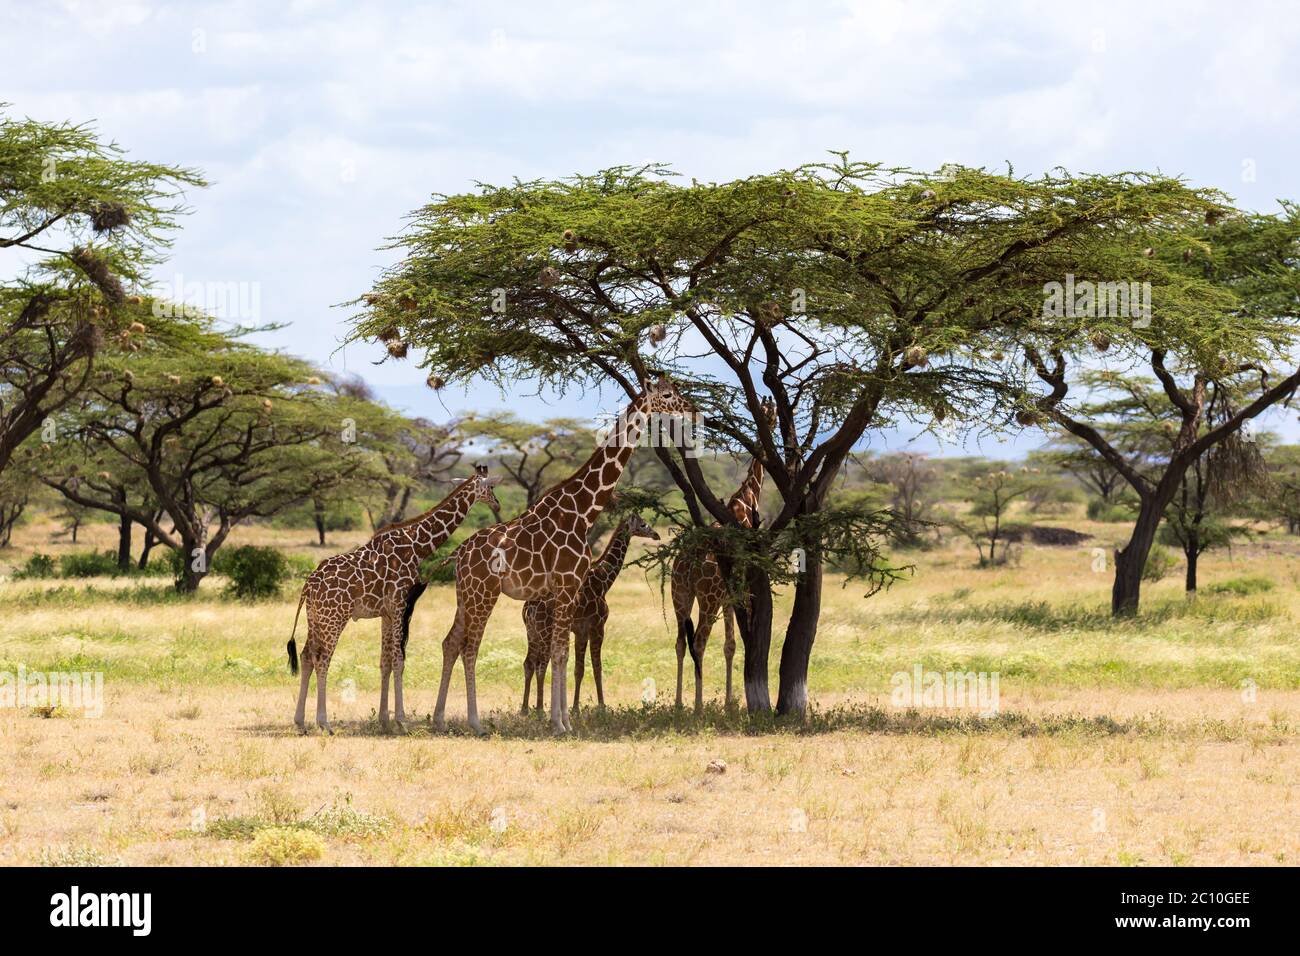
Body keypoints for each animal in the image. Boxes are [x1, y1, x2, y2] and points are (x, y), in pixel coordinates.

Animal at [287, 465, 501, 734]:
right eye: (490, 487)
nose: (497, 504)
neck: (418, 546)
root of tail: (308, 585)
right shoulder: (400, 605)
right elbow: (399, 660)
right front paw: (401, 720)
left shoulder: (387, 613)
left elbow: (385, 661)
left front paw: (384, 720)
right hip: (334, 617)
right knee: (322, 659)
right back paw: (324, 722)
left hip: (315, 618)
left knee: (306, 656)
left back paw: (300, 721)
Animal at [520, 512, 660, 714]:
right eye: (642, 524)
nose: (656, 535)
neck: (603, 582)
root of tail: (528, 608)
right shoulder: (597, 627)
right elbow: (597, 667)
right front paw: (602, 706)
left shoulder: (581, 631)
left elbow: (579, 669)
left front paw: (575, 708)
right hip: (545, 631)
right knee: (541, 665)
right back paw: (539, 710)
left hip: (531, 632)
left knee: (529, 663)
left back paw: (525, 709)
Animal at [672, 397, 775, 713]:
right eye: (771, 414)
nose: (771, 423)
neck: (745, 502)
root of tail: (687, 563)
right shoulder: (741, 593)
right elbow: (737, 644)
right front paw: (731, 702)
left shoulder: (730, 598)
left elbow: (730, 645)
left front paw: (729, 702)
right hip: (708, 599)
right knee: (699, 642)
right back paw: (697, 706)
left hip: (680, 594)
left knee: (680, 643)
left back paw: (678, 704)